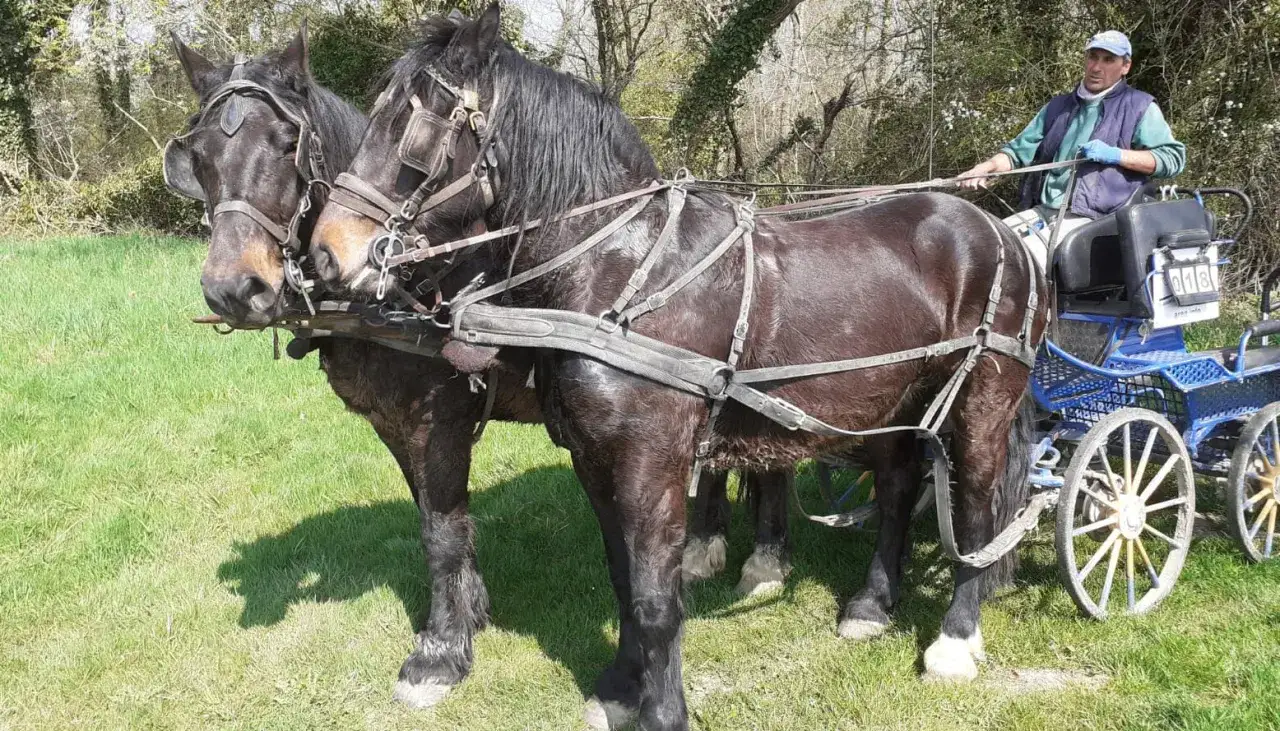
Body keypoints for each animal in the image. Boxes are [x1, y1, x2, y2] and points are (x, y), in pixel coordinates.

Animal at [165, 26, 794, 712]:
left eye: (286, 145)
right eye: (199, 155)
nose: (233, 289)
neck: (408, 286)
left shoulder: (438, 422)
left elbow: (441, 531)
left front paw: (439, 653)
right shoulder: (394, 427)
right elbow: (436, 518)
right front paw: (469, 611)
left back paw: (765, 558)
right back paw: (709, 544)